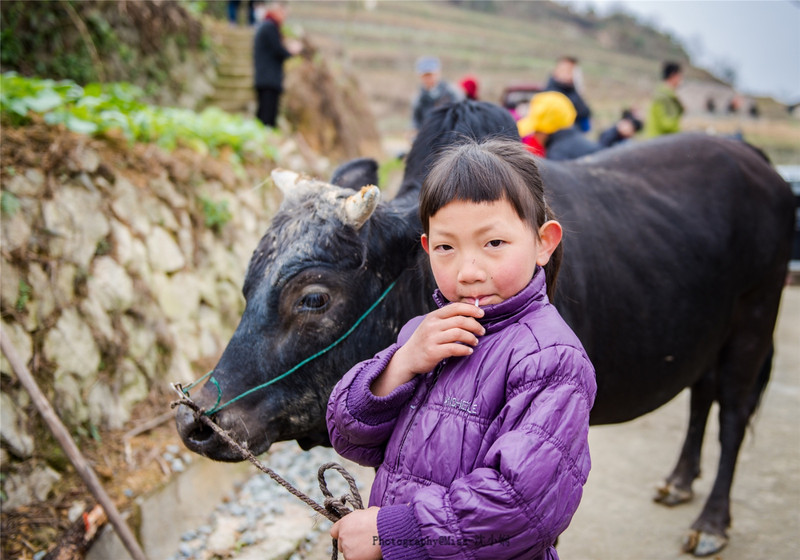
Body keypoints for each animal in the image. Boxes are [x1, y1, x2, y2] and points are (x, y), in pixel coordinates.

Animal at [175, 101, 792, 556]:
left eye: (313, 297)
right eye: (247, 283)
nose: (196, 420)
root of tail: (754, 158)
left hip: (754, 323)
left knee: (733, 414)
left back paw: (711, 522)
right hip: (709, 339)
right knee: (702, 398)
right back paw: (679, 481)